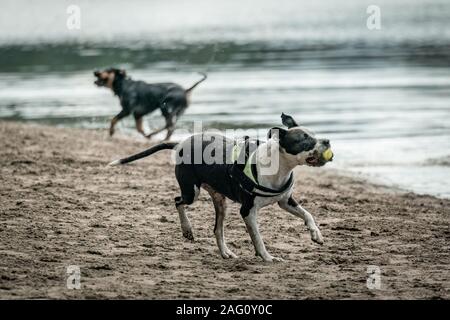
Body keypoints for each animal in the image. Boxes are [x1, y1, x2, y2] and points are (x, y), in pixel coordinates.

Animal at [107, 114, 332, 262]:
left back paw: (225, 252)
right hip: (192, 191)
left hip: (220, 202)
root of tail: (180, 144)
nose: (327, 141)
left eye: (314, 134)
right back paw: (187, 229)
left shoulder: (285, 201)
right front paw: (267, 257)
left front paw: (316, 235)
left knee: (217, 229)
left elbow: (308, 215)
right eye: (304, 139)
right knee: (178, 201)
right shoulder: (247, 211)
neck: (279, 166)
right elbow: (258, 239)